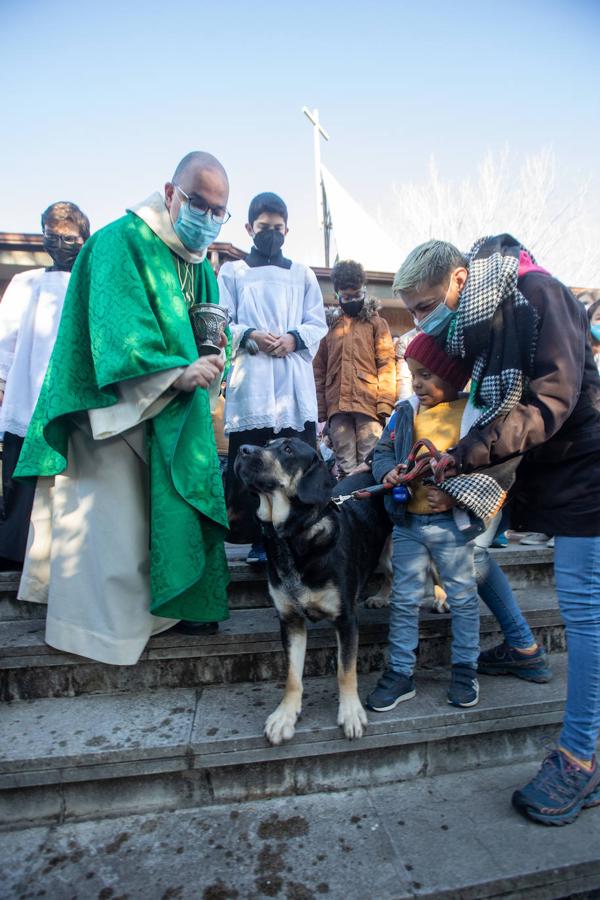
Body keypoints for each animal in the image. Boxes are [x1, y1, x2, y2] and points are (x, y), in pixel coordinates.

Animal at [234, 438, 390, 744]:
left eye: (288, 449)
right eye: (267, 443)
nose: (242, 449)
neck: (292, 538)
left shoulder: (346, 619)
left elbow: (345, 670)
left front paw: (351, 712)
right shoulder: (290, 621)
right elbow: (293, 675)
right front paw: (285, 714)